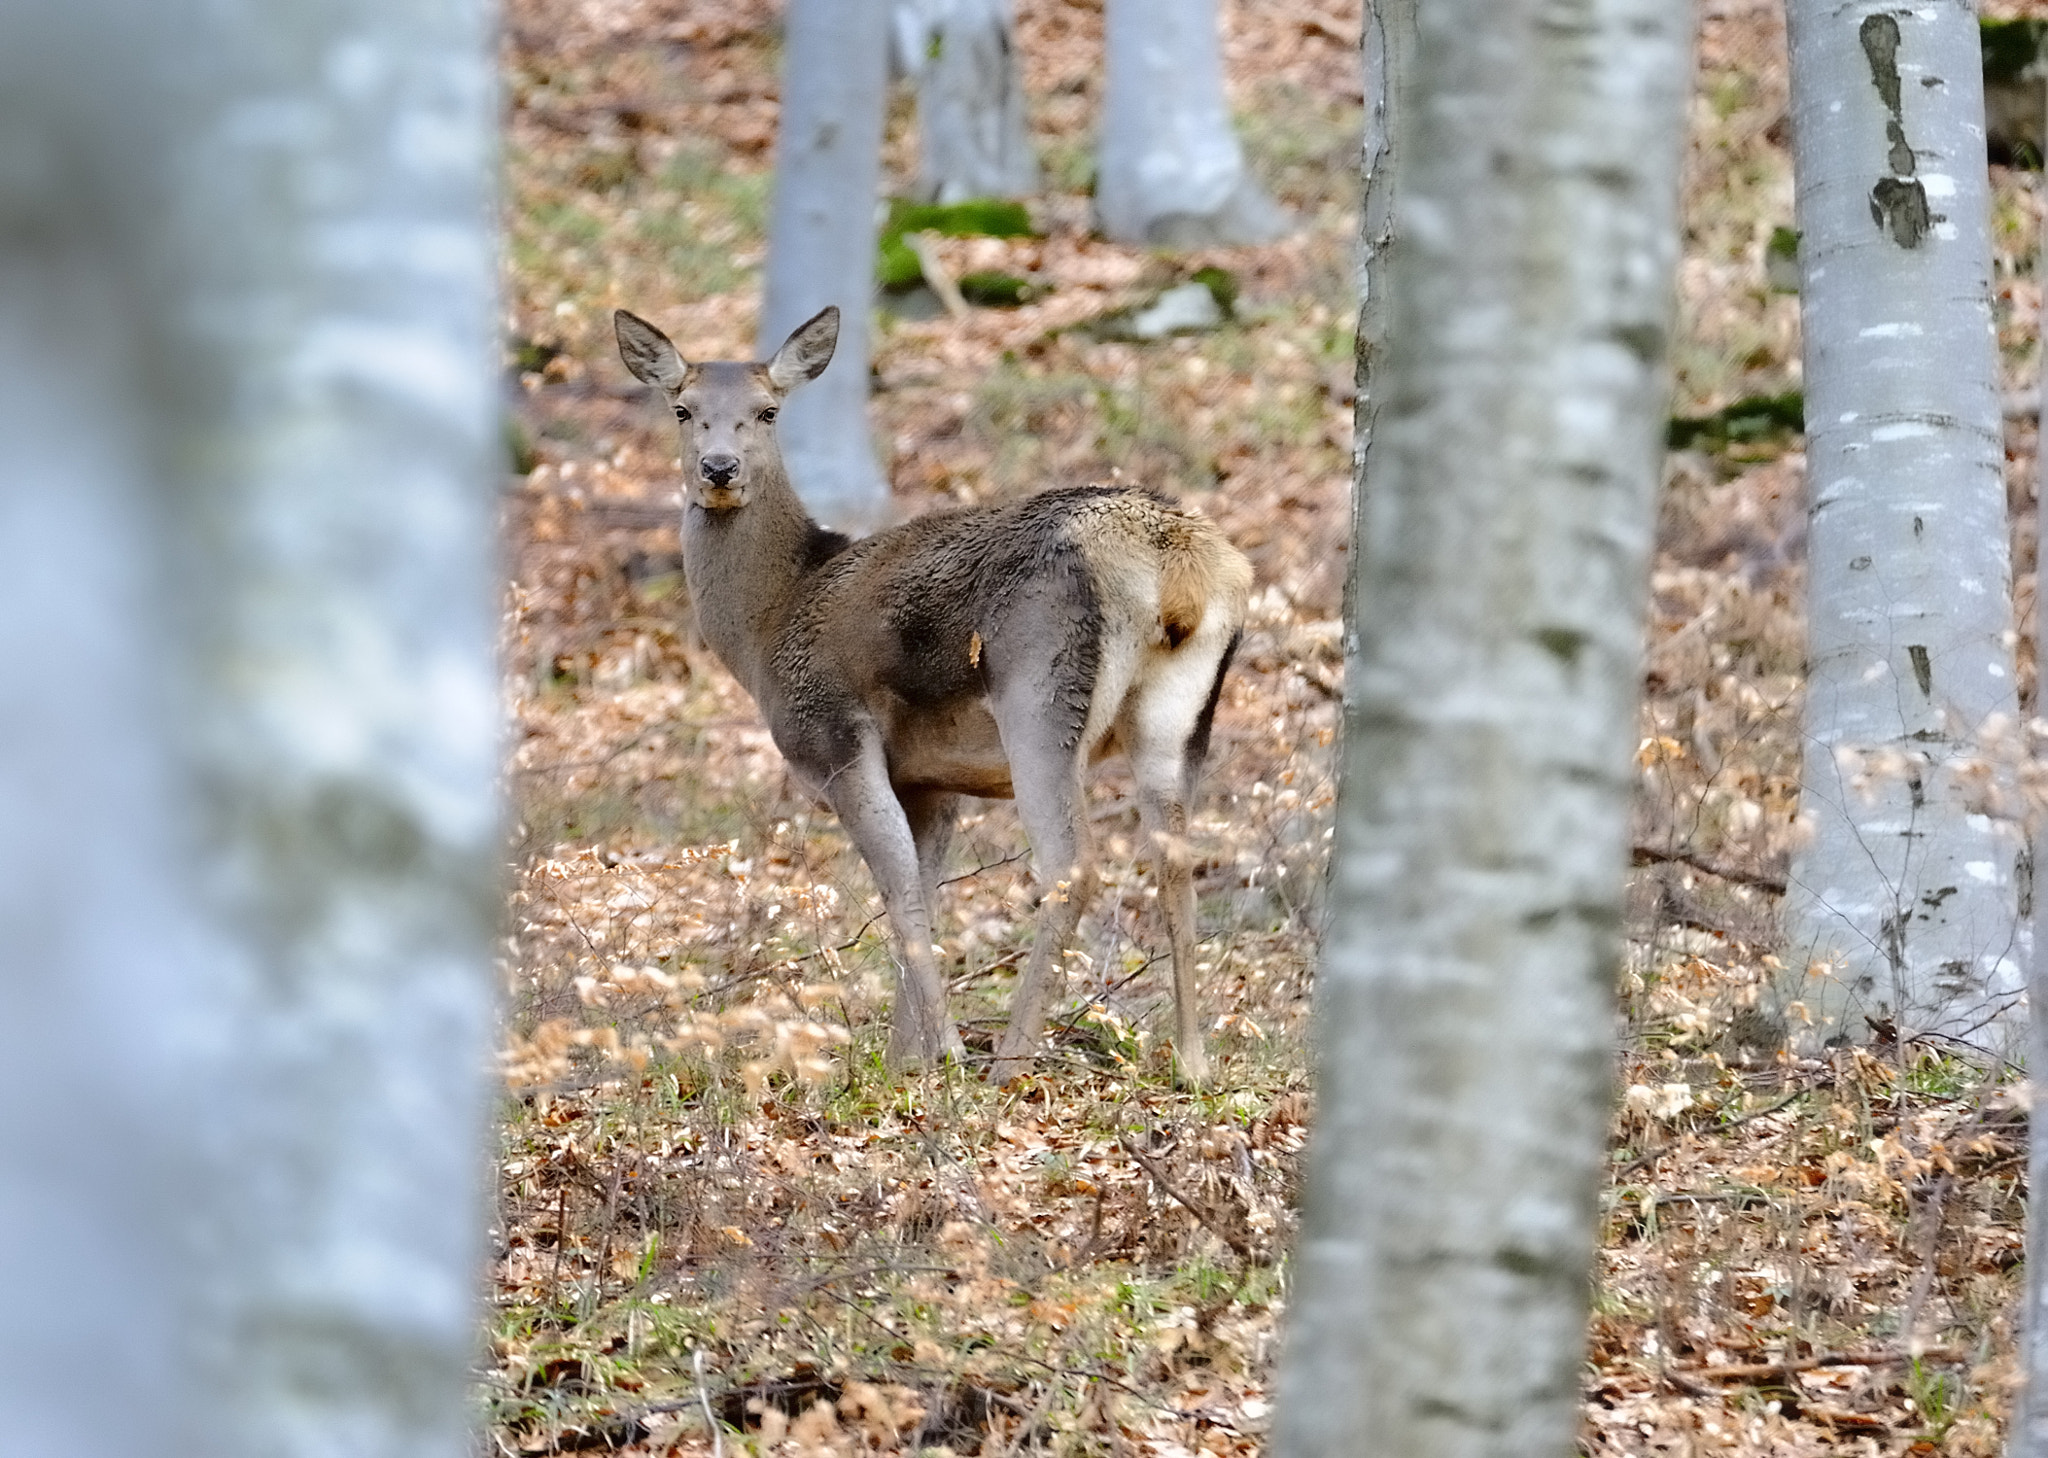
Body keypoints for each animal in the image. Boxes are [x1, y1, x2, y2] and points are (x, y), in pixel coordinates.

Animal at [614, 303, 1252, 1084]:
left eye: (767, 411)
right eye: (683, 408)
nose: (719, 469)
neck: (767, 627)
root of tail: (1180, 564)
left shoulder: (833, 739)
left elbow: (897, 891)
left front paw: (940, 1053)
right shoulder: (930, 781)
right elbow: (924, 890)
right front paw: (902, 1063)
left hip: (1039, 693)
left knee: (1072, 863)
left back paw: (1011, 1059)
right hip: (1181, 716)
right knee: (1175, 859)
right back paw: (1192, 1062)